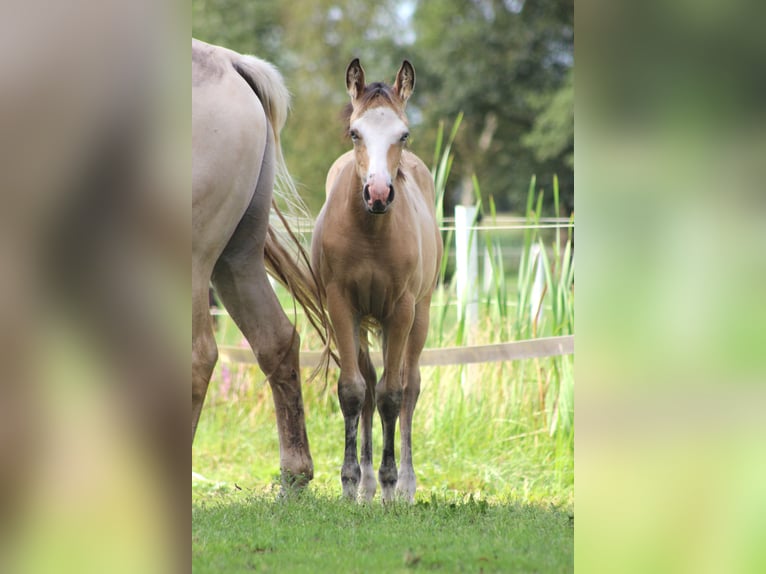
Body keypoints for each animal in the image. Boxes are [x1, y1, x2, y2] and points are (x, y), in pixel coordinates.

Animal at [312, 58, 444, 504]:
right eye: (356, 132)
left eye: (403, 134)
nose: (379, 194)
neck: (370, 234)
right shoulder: (341, 306)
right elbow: (354, 391)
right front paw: (352, 481)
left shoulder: (400, 310)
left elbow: (392, 394)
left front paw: (389, 484)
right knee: (369, 384)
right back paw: (367, 484)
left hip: (418, 315)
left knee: (410, 387)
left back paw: (404, 485)